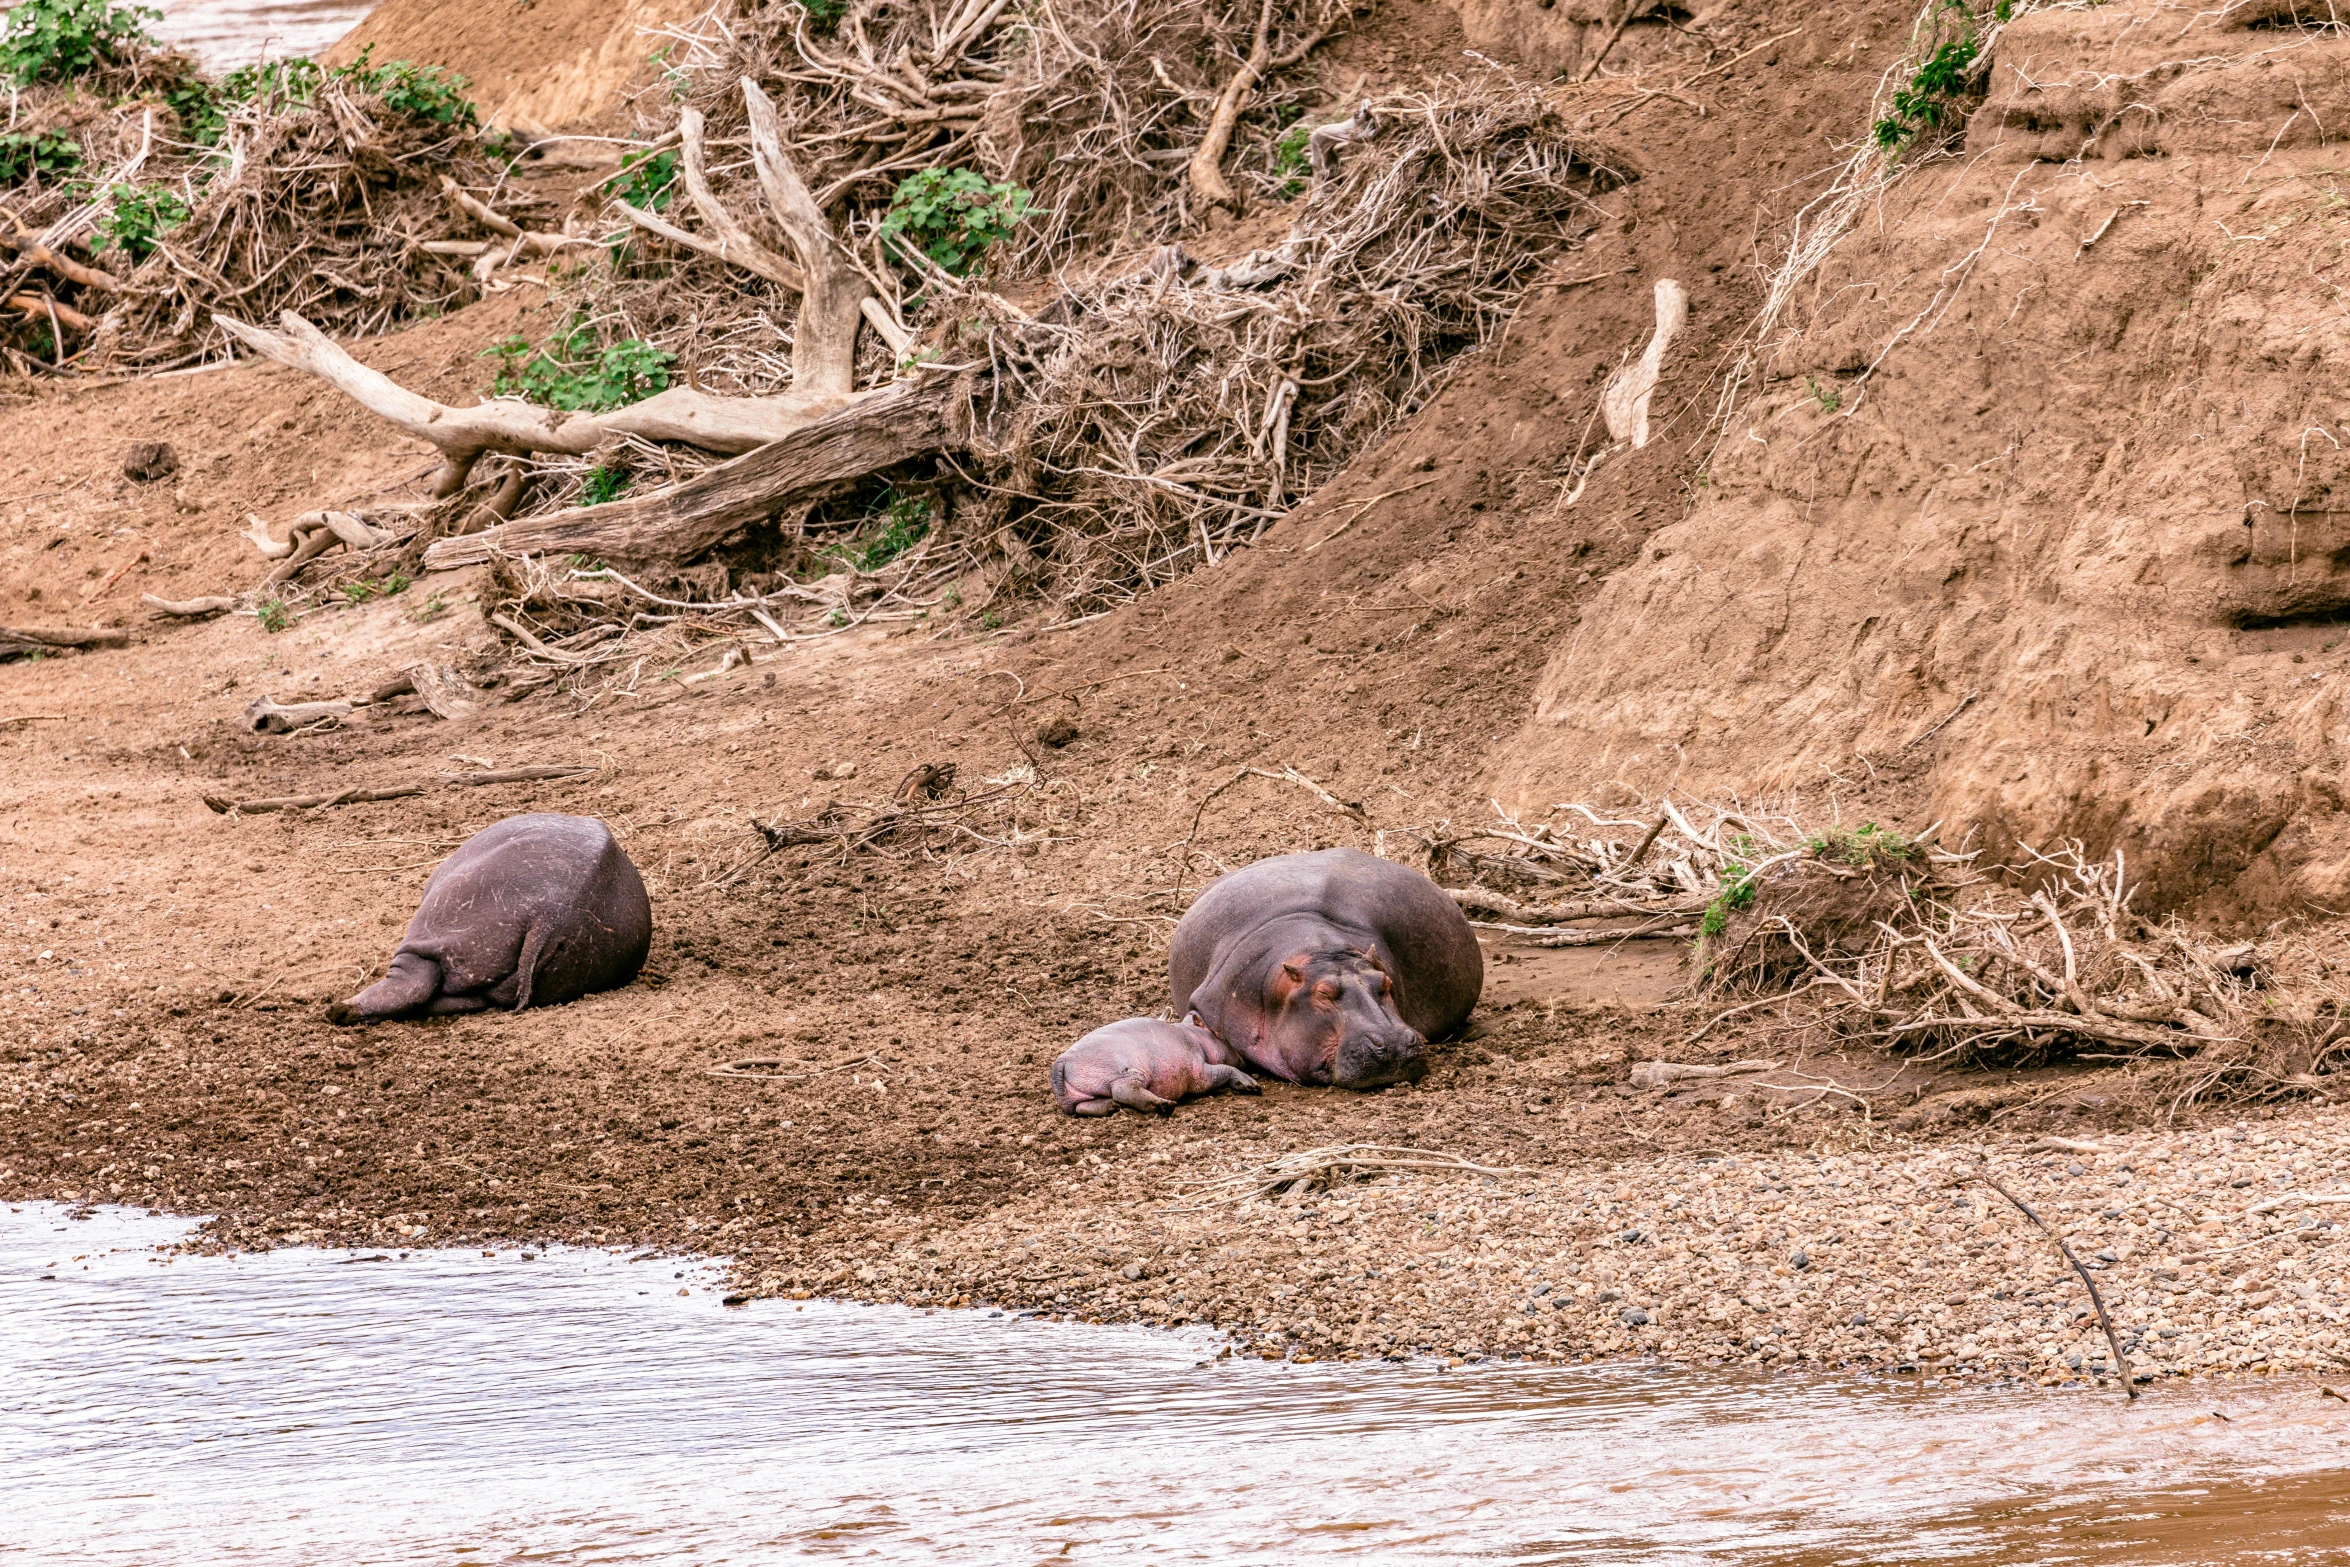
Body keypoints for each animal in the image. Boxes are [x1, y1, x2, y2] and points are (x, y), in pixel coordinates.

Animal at [1052, 1019, 1269, 1113]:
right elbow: (1221, 1071)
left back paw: (1113, 1107)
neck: (1194, 1037)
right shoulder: (1197, 1069)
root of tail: (1061, 1062)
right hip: (1128, 1071)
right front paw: (1253, 1086)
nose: (1243, 1058)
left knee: (1083, 1106)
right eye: (1217, 1034)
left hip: (1075, 1098)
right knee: (1124, 1090)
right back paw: (1165, 1105)